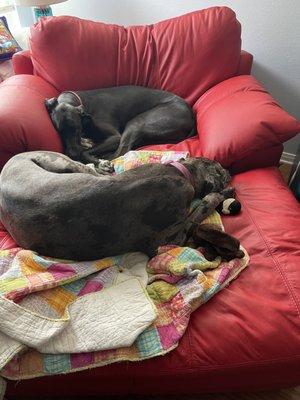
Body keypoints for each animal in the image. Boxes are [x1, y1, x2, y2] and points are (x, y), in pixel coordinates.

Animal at [0, 152, 232, 260]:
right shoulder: (170, 239)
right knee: (84, 166)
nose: (230, 171)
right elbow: (200, 210)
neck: (181, 173)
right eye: (219, 167)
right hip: (57, 159)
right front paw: (218, 195)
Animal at [44, 86, 195, 164]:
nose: (72, 155)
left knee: (120, 153)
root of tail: (192, 115)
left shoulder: (115, 137)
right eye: (59, 131)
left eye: (77, 129)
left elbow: (84, 151)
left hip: (136, 123)